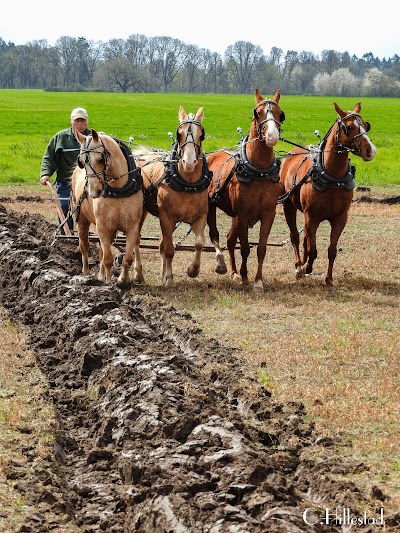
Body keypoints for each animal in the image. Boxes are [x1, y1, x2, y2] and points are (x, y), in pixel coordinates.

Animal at [71, 128, 144, 286]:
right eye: (82, 162)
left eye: (100, 159)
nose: (93, 192)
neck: (118, 189)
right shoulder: (103, 227)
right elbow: (108, 258)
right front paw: (109, 283)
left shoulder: (132, 226)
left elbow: (128, 257)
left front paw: (123, 280)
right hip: (82, 220)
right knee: (85, 245)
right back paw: (86, 273)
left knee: (102, 251)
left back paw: (100, 274)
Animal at [134, 105, 211, 286]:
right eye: (179, 134)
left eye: (201, 135)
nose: (189, 163)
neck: (187, 183)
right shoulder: (166, 218)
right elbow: (169, 250)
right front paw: (169, 279)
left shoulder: (200, 217)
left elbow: (199, 243)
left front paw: (193, 270)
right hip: (140, 212)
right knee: (136, 240)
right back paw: (138, 274)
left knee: (160, 243)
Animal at [206, 89, 284, 288]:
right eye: (258, 113)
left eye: (280, 114)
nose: (272, 135)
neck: (259, 171)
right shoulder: (243, 214)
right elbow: (245, 248)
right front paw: (245, 278)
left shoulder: (268, 214)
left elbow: (261, 249)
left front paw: (258, 281)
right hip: (212, 207)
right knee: (215, 235)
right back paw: (222, 265)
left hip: (235, 216)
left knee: (230, 240)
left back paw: (233, 272)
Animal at [280, 103, 376, 286]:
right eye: (349, 127)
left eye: (366, 125)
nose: (370, 150)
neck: (332, 177)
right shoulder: (312, 217)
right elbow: (313, 250)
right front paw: (306, 268)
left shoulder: (340, 218)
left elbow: (331, 250)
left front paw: (329, 279)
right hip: (289, 205)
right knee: (295, 237)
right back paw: (299, 266)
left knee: (305, 239)